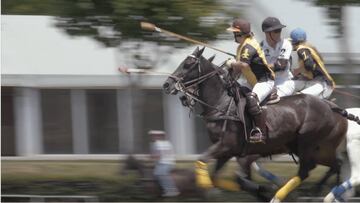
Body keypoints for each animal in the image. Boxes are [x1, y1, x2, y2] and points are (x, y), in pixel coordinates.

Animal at [164, 47, 360, 201]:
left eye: (188, 63)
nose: (167, 85)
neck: (222, 104)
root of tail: (332, 107)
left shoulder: (228, 146)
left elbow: (204, 162)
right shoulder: (228, 152)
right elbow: (221, 177)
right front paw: (261, 189)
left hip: (308, 142)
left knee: (308, 170)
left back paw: (284, 196)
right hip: (313, 148)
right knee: (334, 165)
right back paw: (324, 193)